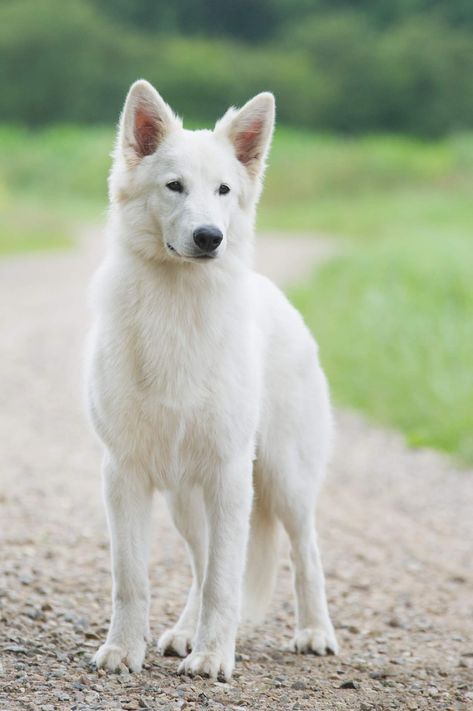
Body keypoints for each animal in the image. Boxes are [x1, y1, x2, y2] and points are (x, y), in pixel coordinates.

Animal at [86, 80, 338, 680]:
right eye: (174, 186)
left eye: (224, 190)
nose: (210, 237)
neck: (178, 307)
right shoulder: (124, 474)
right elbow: (132, 579)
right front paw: (124, 650)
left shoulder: (229, 475)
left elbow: (227, 582)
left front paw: (214, 659)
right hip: (186, 501)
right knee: (201, 568)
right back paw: (183, 633)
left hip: (283, 479)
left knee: (306, 553)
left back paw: (315, 632)